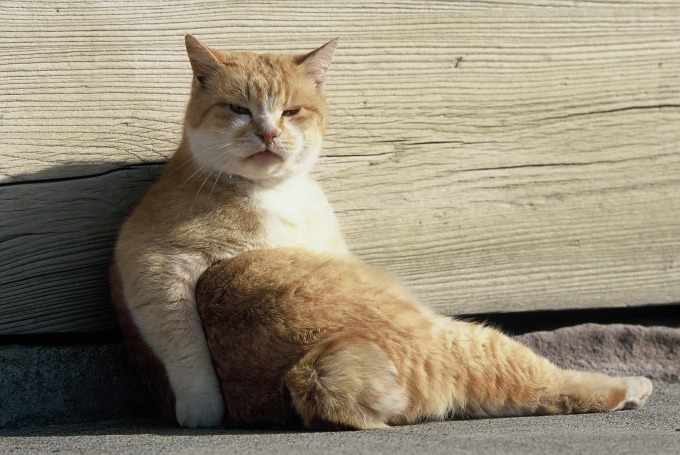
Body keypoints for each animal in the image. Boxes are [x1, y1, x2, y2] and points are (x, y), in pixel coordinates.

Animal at [111, 36, 652, 432]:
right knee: (545, 388)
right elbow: (183, 344)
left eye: (291, 112)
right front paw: (201, 409)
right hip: (463, 338)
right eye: (239, 110)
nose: (267, 133)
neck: (278, 193)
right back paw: (631, 387)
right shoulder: (152, 258)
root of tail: (308, 373)